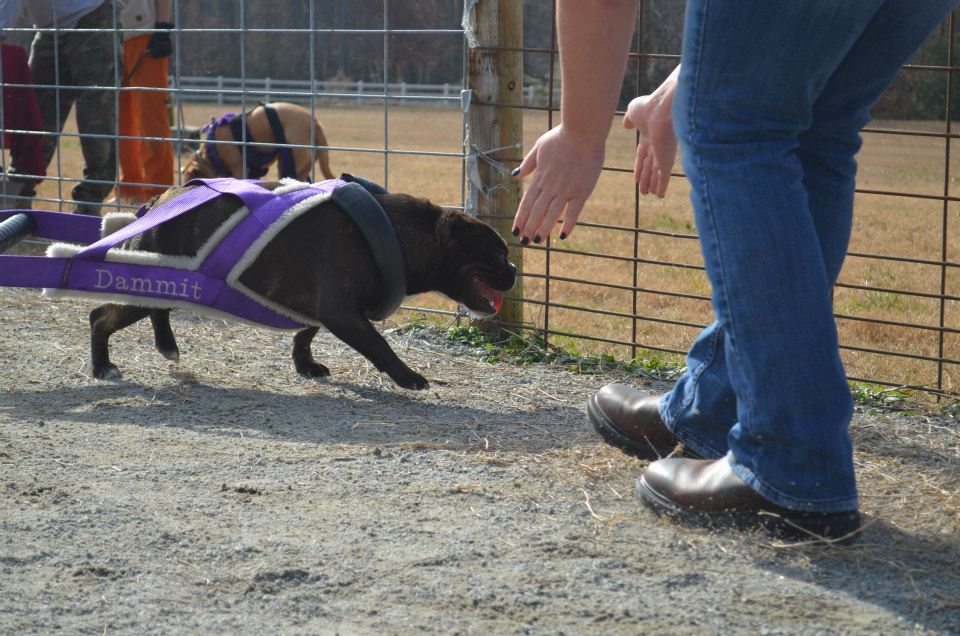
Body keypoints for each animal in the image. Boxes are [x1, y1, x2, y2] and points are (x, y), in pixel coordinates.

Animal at [90, 181, 516, 390]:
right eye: (497, 255)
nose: (513, 269)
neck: (402, 234)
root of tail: (161, 200)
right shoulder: (342, 312)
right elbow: (379, 346)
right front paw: (406, 376)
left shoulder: (321, 307)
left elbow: (306, 333)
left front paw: (306, 366)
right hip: (145, 281)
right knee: (100, 317)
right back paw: (102, 367)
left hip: (174, 276)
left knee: (158, 306)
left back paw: (167, 346)